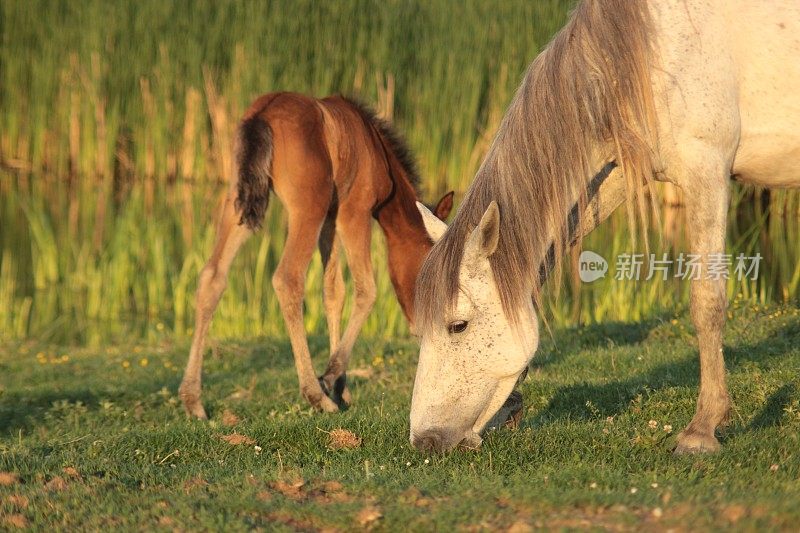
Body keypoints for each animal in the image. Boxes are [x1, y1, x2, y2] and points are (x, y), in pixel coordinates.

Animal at [183, 92, 456, 416]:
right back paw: (314, 394)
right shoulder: (354, 212)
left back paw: (192, 399)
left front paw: (341, 387)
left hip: (239, 202)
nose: (425, 328)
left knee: (212, 277)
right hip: (306, 208)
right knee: (288, 279)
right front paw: (328, 378)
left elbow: (334, 293)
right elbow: (366, 290)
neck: (372, 145)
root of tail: (263, 112)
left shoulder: (331, 217)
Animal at [412, 0, 800, 450]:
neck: (652, 50)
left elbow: (707, 303)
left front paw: (702, 430)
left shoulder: (707, 173)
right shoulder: (615, 176)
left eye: (458, 326)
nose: (424, 439)